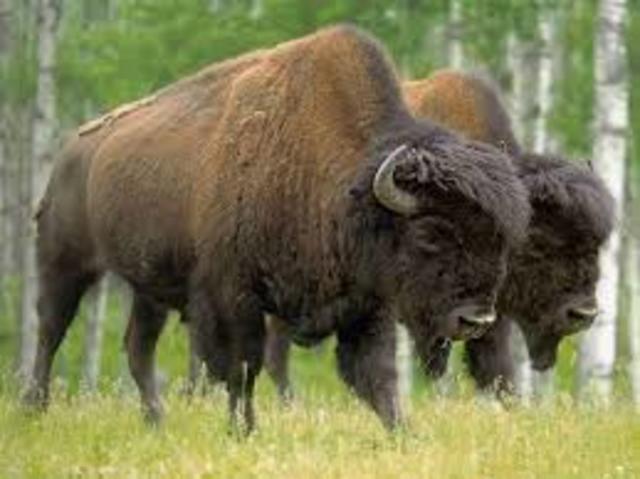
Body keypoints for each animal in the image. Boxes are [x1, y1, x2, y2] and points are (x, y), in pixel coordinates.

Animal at [25, 28, 530, 432]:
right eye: (429, 235)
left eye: (501, 240)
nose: (477, 320)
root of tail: (70, 150)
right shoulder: (233, 298)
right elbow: (242, 367)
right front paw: (243, 431)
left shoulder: (366, 308)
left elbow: (378, 378)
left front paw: (404, 436)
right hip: (64, 263)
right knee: (50, 330)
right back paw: (35, 408)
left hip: (149, 288)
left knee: (137, 347)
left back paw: (156, 421)